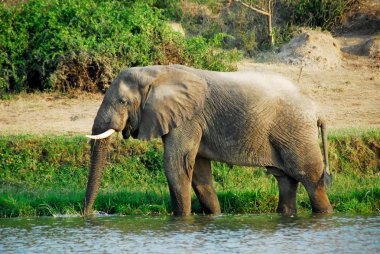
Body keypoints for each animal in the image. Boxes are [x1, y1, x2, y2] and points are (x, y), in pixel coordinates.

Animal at [84, 64, 332, 216]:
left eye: (123, 102)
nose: (87, 214)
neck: (156, 72)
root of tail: (318, 110)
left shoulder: (188, 118)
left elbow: (175, 164)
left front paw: (182, 218)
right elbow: (198, 170)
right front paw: (215, 216)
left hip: (297, 133)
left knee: (310, 177)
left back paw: (325, 214)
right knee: (286, 180)